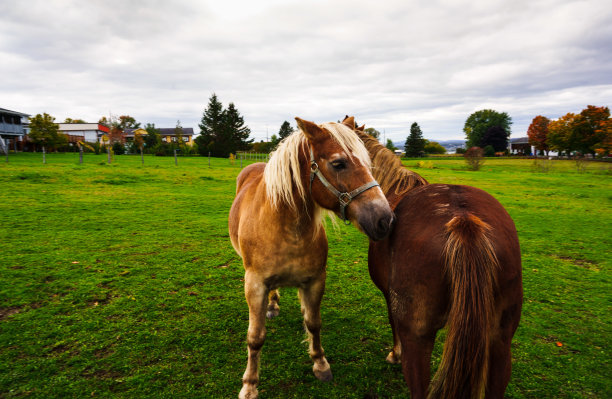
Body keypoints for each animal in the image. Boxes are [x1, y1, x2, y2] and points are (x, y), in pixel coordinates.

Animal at [228, 118, 392, 399]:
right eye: (338, 163)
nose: (385, 219)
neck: (285, 227)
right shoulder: (255, 284)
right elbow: (255, 337)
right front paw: (249, 385)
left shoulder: (315, 281)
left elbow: (313, 323)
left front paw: (320, 364)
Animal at [346, 119, 524, 399]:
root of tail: (464, 220)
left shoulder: (389, 296)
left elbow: (392, 322)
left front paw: (394, 354)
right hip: (500, 341)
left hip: (418, 340)